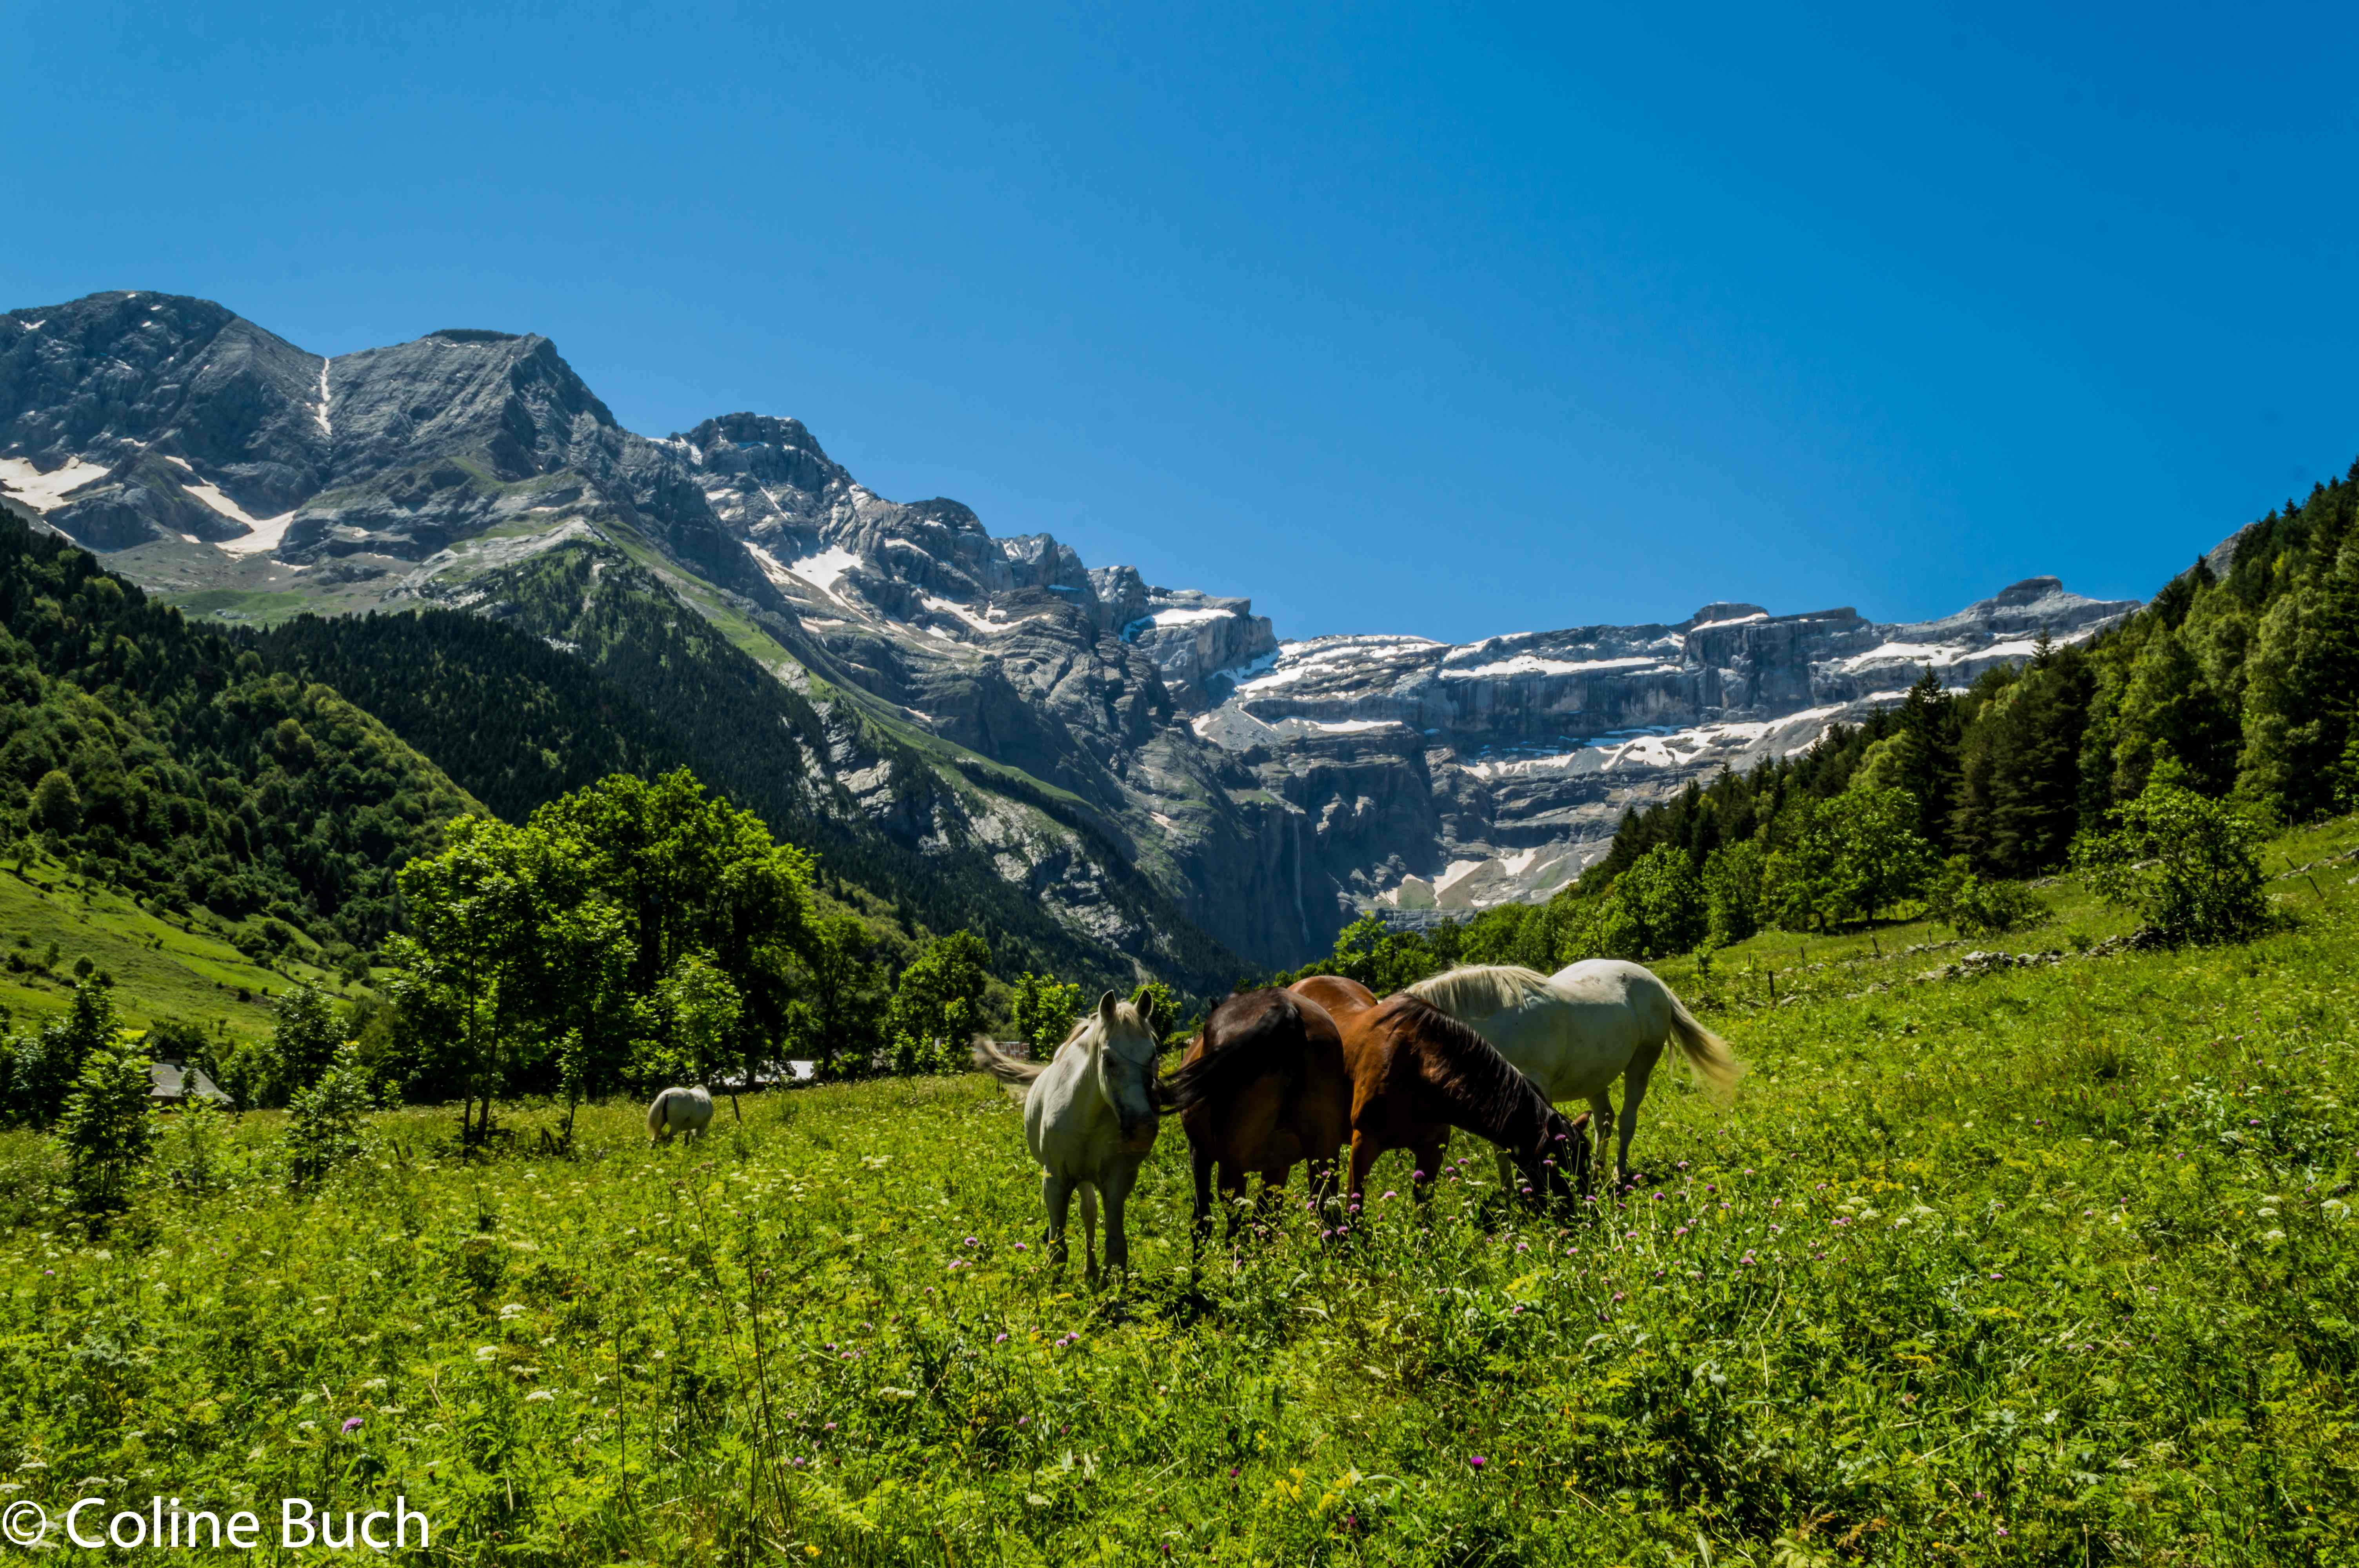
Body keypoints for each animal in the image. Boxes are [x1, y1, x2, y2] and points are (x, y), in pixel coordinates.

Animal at [646, 1085, 715, 1144]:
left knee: (655, 1138)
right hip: (675, 1126)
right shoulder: (704, 1124)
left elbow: (687, 1135)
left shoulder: (690, 1124)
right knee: (669, 1137)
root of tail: (668, 1094)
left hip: (661, 1122)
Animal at [971, 990, 1162, 1285]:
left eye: (1153, 1055)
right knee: (1087, 1212)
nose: (1142, 1130)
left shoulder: (1117, 1181)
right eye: (1108, 1060)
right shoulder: (1055, 1180)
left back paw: (1091, 1270)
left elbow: (1116, 1248)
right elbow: (1057, 1248)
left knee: (1089, 1213)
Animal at [1163, 988, 1352, 1242]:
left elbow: (1202, 1217)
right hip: (1324, 1153)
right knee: (1326, 1210)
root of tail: (1285, 1008)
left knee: (1235, 1222)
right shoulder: (1278, 1164)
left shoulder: (1199, 1152)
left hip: (1232, 1162)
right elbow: (1267, 1215)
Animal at [1331, 993, 1592, 1219]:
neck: (1416, 1063)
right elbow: (1354, 1202)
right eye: (1554, 1169)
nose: (1581, 1220)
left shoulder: (1433, 1148)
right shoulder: (1364, 1143)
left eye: (1586, 1166)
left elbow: (1423, 1204)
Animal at [1406, 959, 1742, 1187]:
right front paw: (1510, 1196)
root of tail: (1653, 981)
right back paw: (1597, 1171)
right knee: (1604, 1120)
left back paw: (1618, 1175)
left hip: (1641, 1065)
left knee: (1626, 1120)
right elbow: (1501, 1149)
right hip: (1595, 1076)